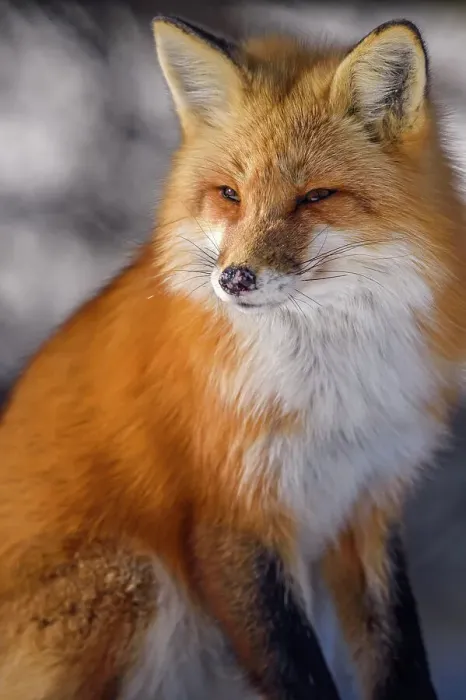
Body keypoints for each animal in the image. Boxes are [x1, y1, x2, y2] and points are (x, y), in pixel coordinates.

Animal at [0, 11, 463, 700]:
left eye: (315, 196)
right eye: (229, 194)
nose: (235, 279)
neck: (328, 396)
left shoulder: (367, 503)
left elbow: (398, 659)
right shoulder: (231, 513)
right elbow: (298, 673)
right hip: (134, 579)